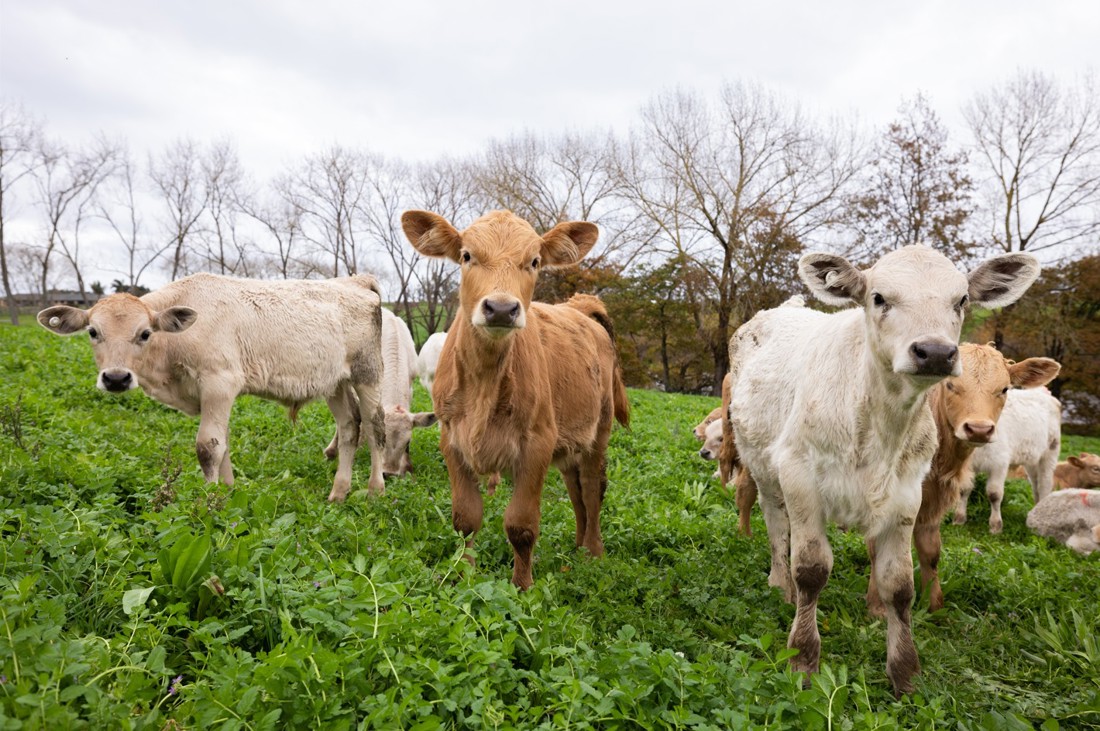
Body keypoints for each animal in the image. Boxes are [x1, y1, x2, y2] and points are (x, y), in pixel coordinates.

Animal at [37, 273, 387, 501]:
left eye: (145, 333)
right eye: (93, 332)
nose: (116, 378)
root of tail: (354, 280)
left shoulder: (220, 382)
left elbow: (208, 448)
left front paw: (208, 504)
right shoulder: (216, 396)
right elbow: (224, 444)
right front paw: (228, 494)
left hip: (367, 372)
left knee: (375, 425)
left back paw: (375, 490)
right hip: (335, 382)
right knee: (349, 426)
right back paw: (338, 493)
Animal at [401, 209, 630, 590]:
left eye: (534, 261)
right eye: (466, 256)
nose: (501, 308)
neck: (484, 384)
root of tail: (580, 307)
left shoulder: (537, 442)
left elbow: (521, 525)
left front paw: (522, 588)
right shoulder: (452, 439)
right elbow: (465, 519)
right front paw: (463, 575)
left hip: (599, 430)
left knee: (592, 488)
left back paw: (593, 553)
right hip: (568, 441)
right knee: (575, 490)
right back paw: (578, 546)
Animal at [727, 245, 1040, 696]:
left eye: (961, 300)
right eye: (878, 298)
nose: (935, 352)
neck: (877, 423)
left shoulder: (908, 493)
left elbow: (900, 584)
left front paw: (905, 672)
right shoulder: (800, 477)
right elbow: (811, 570)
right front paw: (802, 658)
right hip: (764, 466)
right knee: (775, 524)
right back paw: (779, 583)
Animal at [954, 387, 1062, 533]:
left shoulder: (999, 463)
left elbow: (994, 494)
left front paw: (995, 526)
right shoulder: (966, 465)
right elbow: (963, 490)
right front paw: (959, 519)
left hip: (1050, 452)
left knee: (1045, 484)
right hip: (1032, 460)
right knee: (1035, 485)